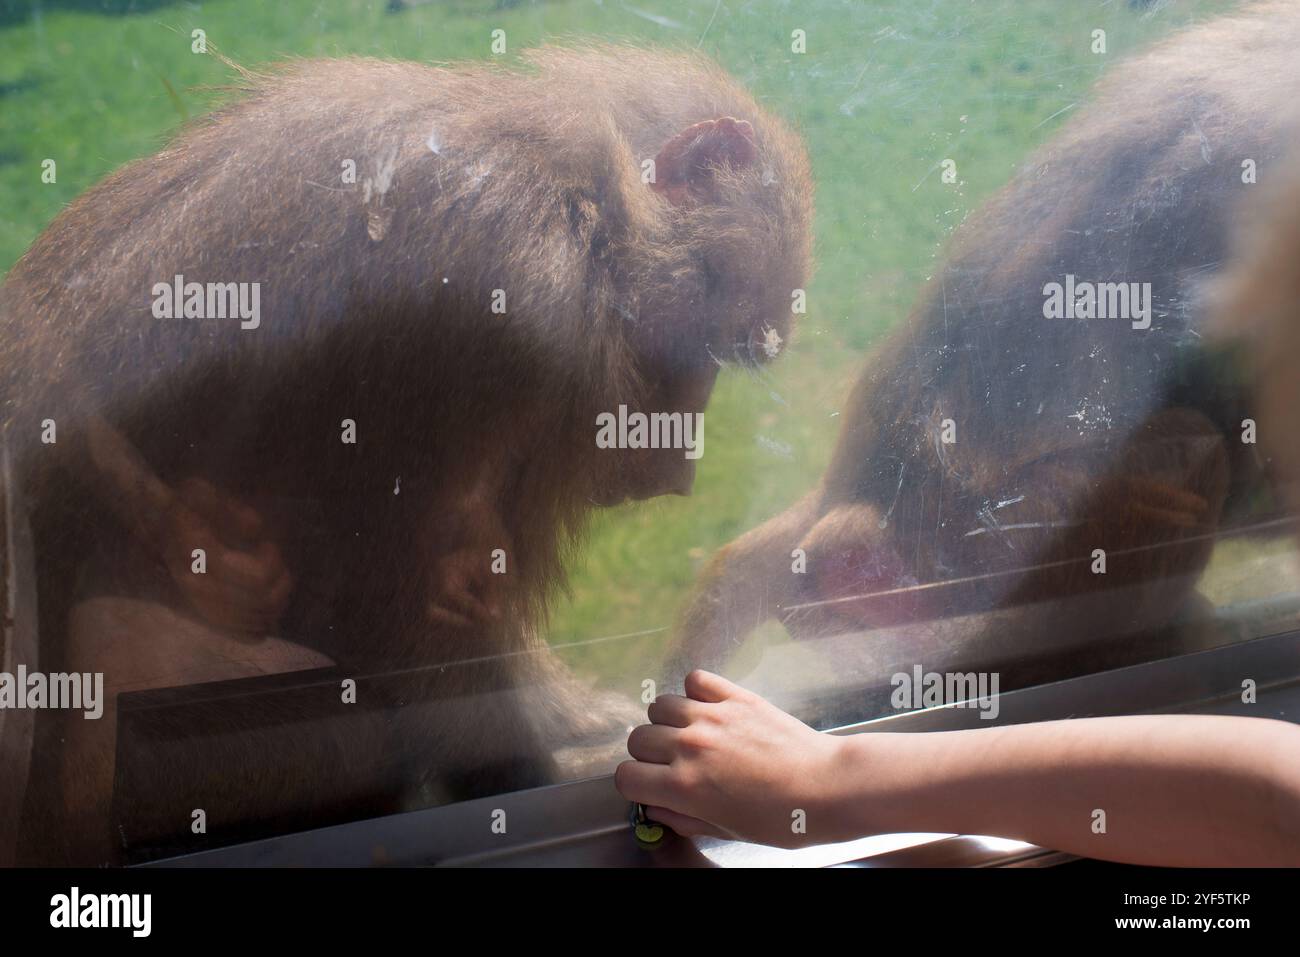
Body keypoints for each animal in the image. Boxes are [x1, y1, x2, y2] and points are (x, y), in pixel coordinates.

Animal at [0, 46, 811, 868]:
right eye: (708, 345)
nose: (681, 460)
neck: (586, 197)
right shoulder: (511, 293)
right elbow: (411, 611)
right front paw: (536, 770)